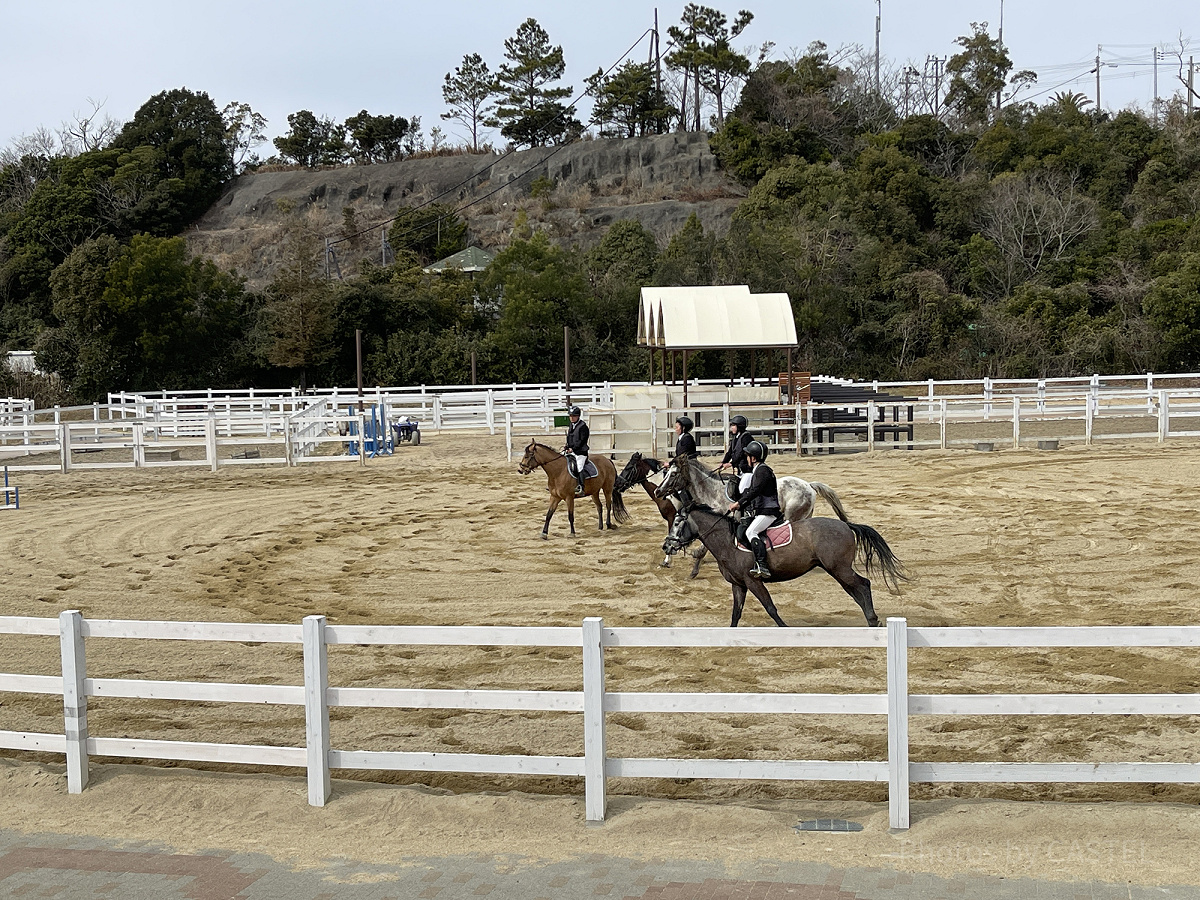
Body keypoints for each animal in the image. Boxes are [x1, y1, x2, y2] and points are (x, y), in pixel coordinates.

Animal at [662, 504, 902, 628]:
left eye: (677, 522)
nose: (666, 546)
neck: (727, 540)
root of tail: (845, 525)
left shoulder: (753, 581)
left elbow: (770, 607)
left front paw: (785, 629)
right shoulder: (738, 584)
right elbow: (736, 613)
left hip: (840, 569)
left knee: (864, 584)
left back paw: (872, 619)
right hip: (837, 570)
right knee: (855, 591)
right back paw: (870, 618)